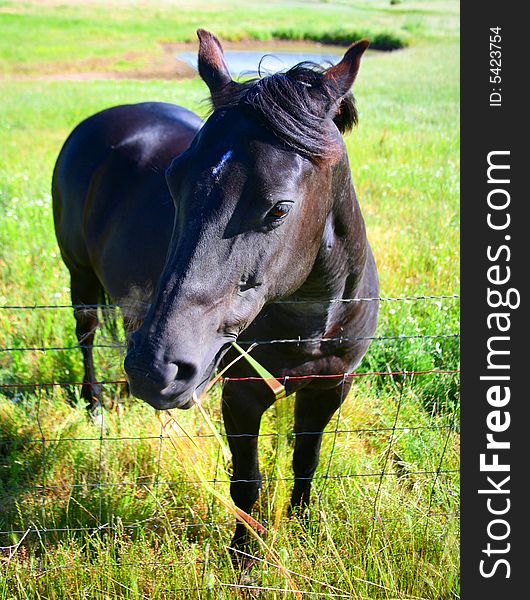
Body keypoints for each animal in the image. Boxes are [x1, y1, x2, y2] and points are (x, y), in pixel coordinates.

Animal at [51, 30, 378, 552]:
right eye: (172, 182)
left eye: (280, 208)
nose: (153, 369)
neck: (313, 322)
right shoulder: (242, 395)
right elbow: (247, 481)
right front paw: (244, 557)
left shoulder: (331, 386)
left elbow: (306, 462)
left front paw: (303, 528)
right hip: (79, 274)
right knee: (86, 333)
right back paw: (95, 407)